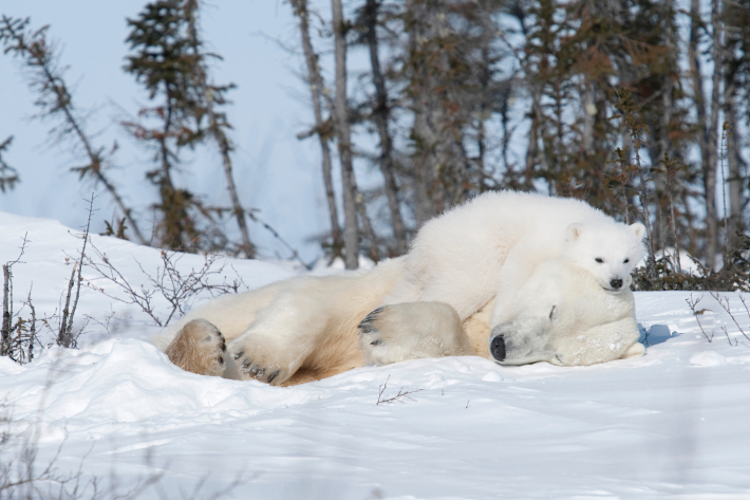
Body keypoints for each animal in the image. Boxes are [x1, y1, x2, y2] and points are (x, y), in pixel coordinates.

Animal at [151, 191, 647, 386]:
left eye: (557, 356)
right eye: (552, 310)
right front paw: (260, 358)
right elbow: (319, 302)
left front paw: (384, 332)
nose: (503, 347)